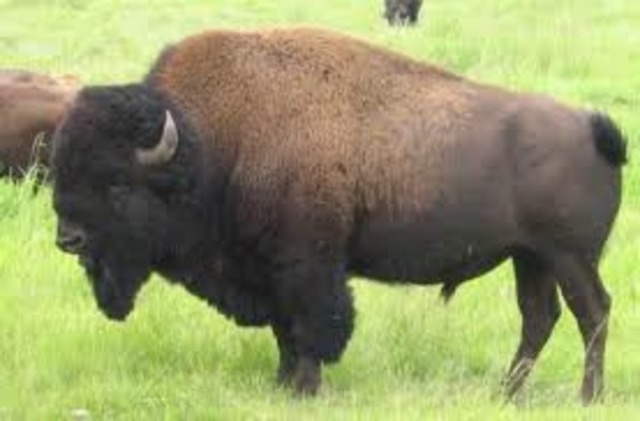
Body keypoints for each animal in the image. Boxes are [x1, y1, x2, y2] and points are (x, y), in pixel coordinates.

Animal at [51, 28, 626, 402]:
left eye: (118, 183)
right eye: (62, 171)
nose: (68, 239)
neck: (212, 142)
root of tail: (594, 129)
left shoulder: (307, 262)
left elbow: (313, 326)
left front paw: (305, 389)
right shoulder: (266, 269)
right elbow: (284, 330)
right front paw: (282, 384)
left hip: (570, 257)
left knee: (592, 312)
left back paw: (588, 396)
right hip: (530, 257)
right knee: (539, 317)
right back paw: (505, 394)